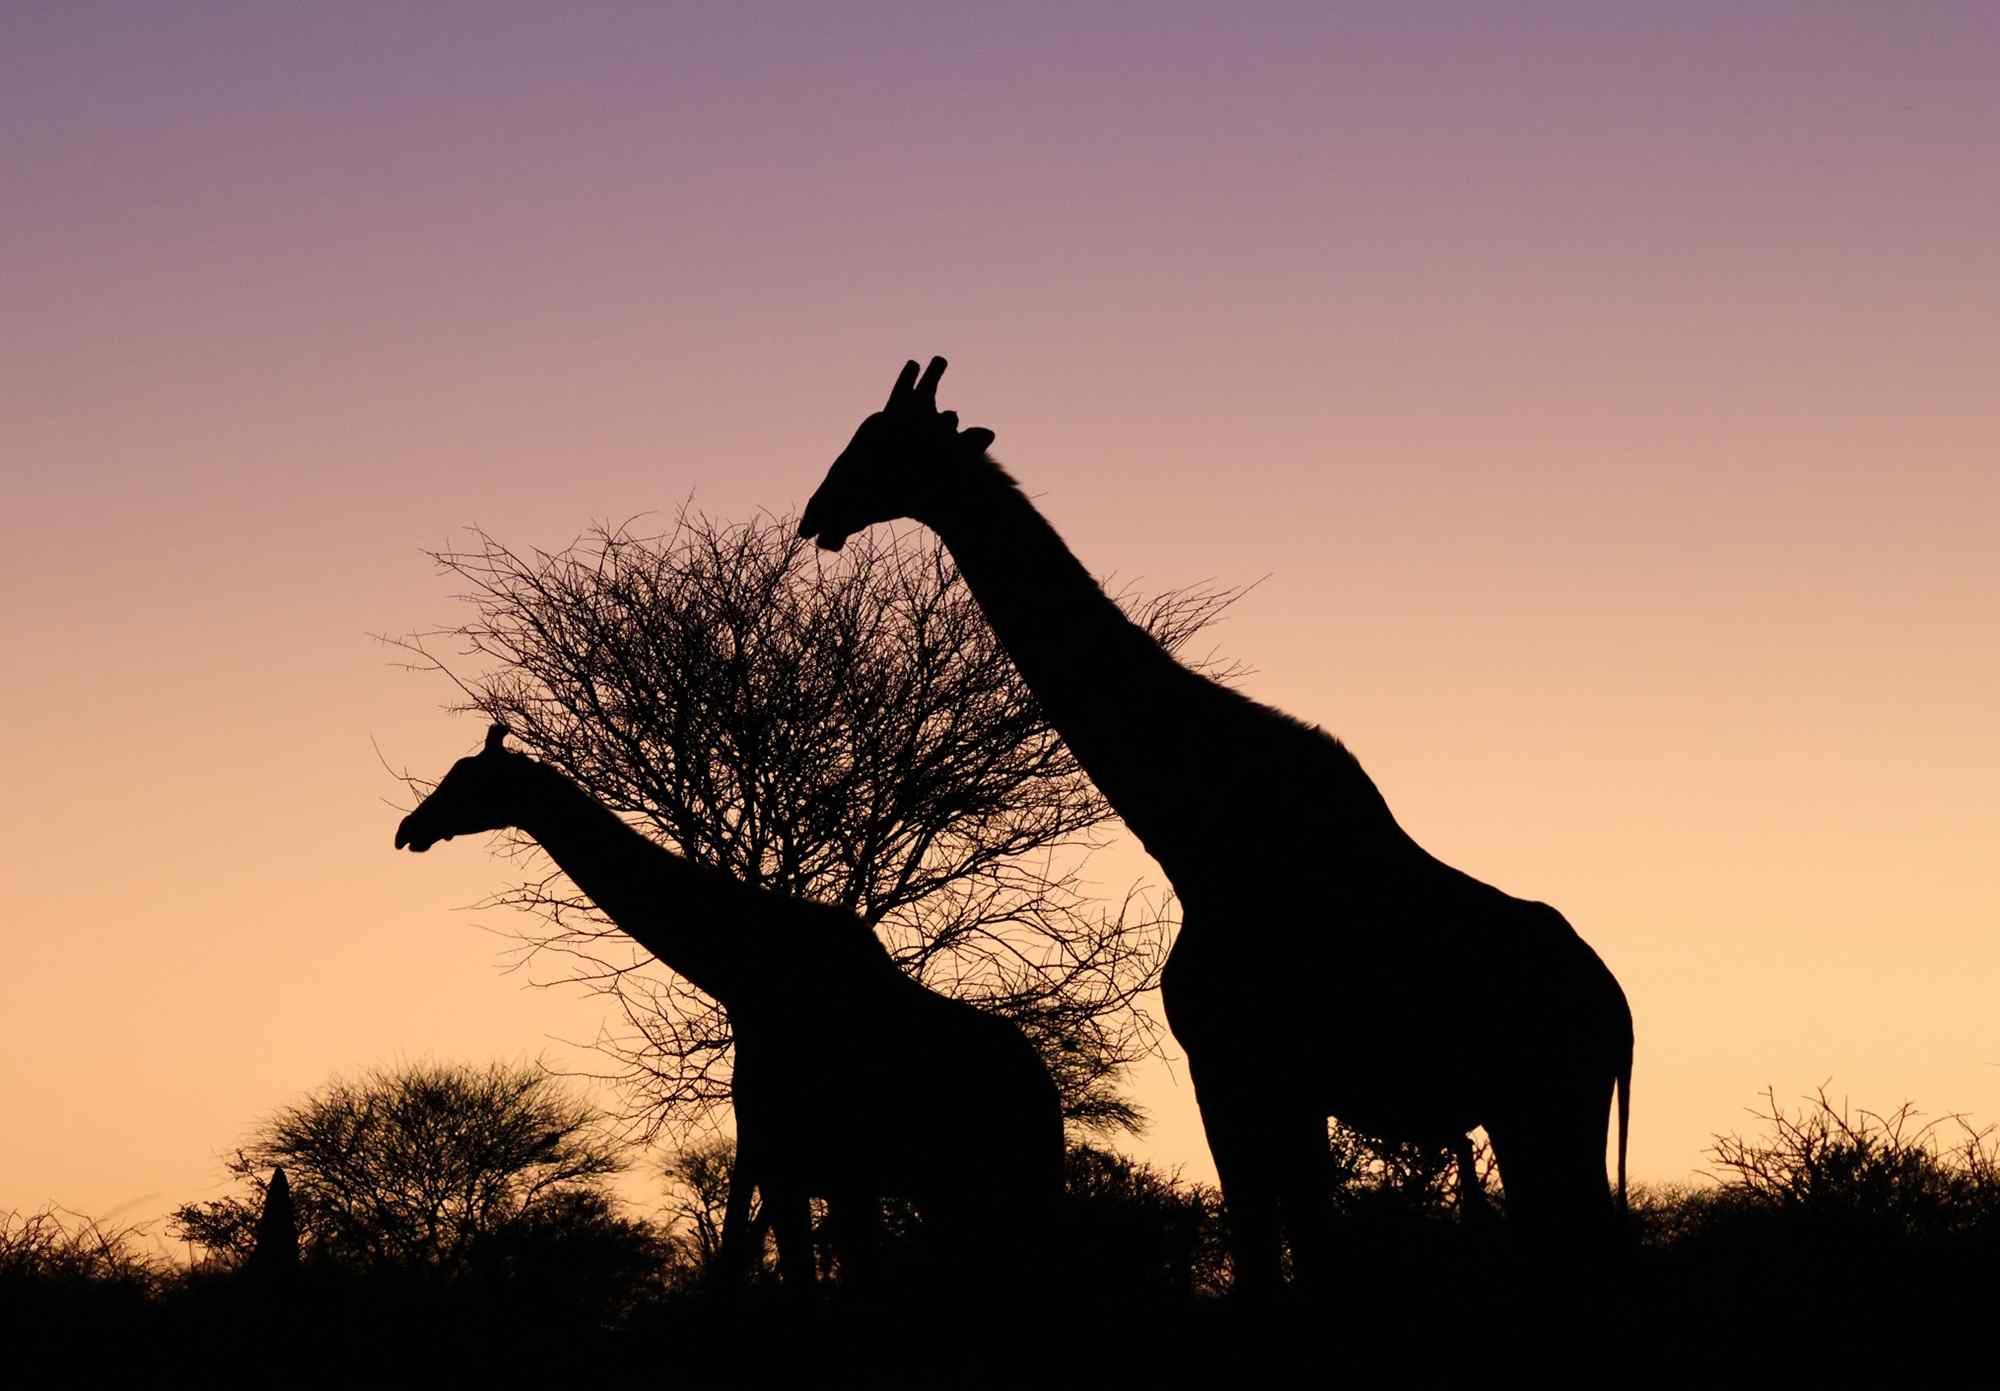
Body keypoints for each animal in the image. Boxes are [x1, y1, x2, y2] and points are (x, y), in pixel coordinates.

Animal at [394, 723, 1065, 1290]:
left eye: (466, 779)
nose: (408, 828)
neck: (748, 979)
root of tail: (1046, 1087)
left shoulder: (817, 1168)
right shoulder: (796, 1167)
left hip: (1006, 1185)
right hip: (959, 1192)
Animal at [797, 357, 1633, 1294]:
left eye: (884, 444)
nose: (816, 514)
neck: (1196, 835)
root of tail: (1619, 1010)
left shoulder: (1243, 1068)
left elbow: (1282, 1254)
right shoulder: (1263, 1080)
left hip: (1547, 1106)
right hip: (1533, 1114)